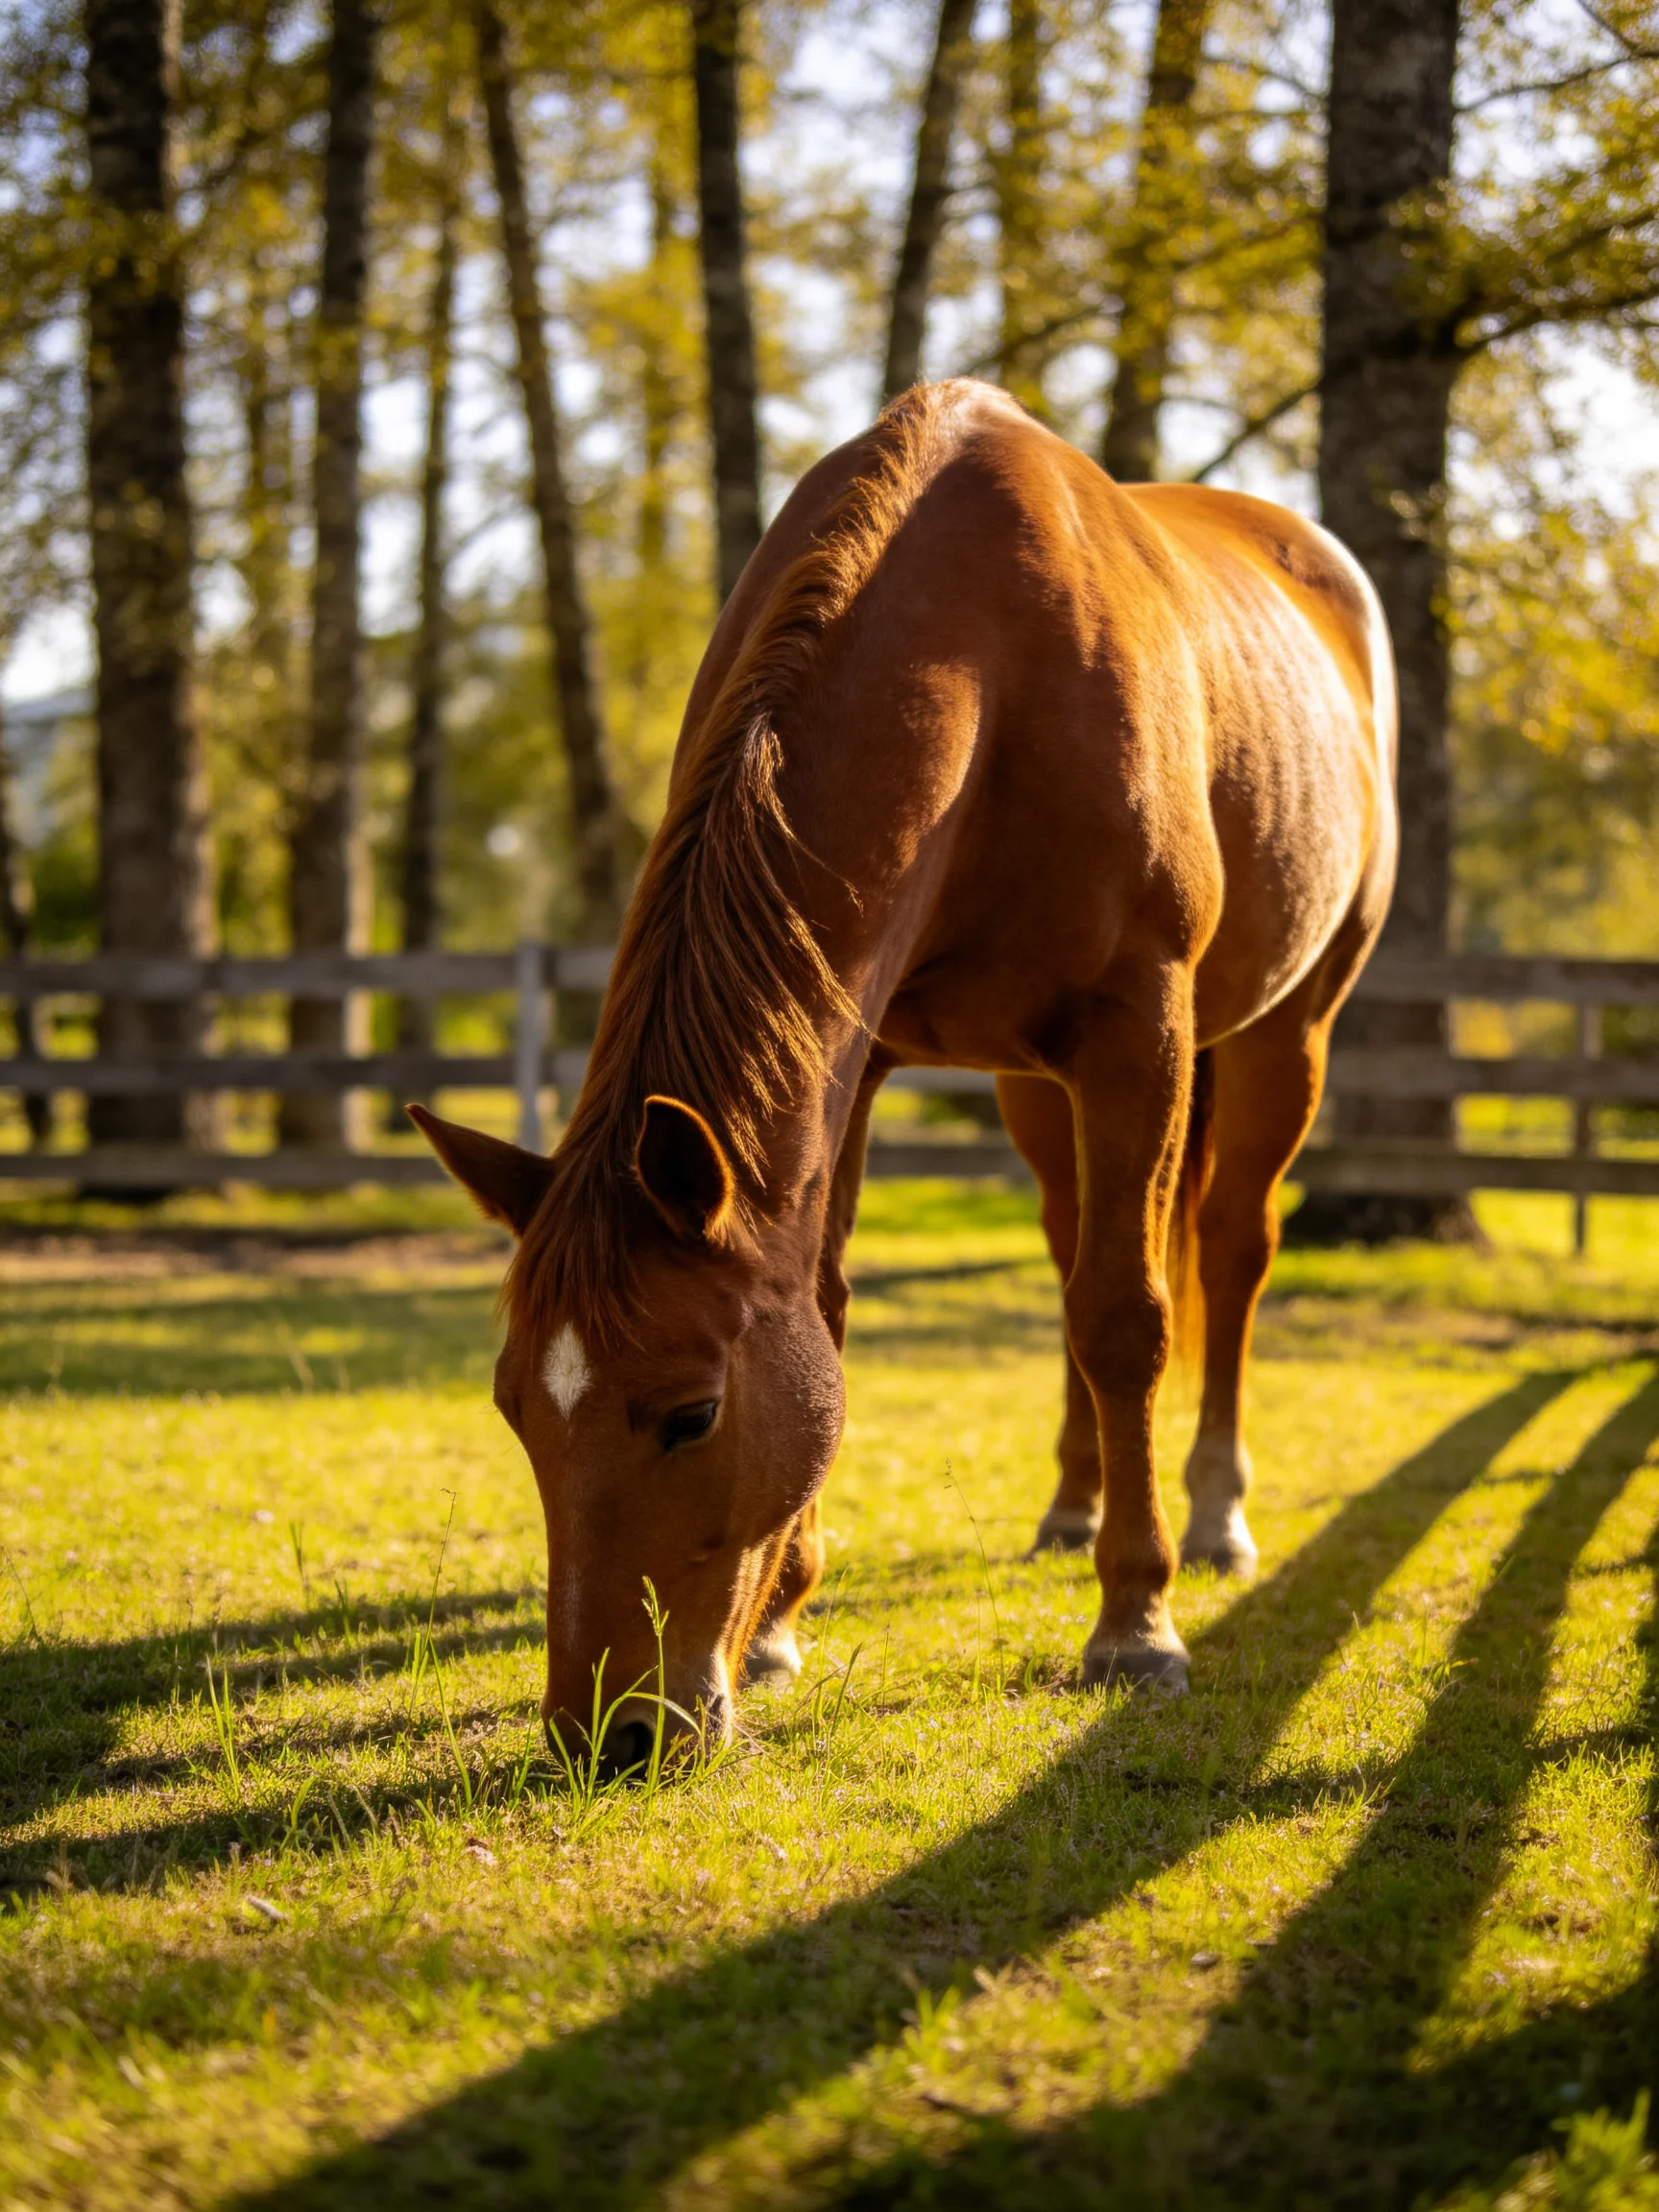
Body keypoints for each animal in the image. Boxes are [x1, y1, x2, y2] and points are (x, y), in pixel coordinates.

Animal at [411, 378, 1397, 1771]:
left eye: (691, 1414)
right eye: (515, 1409)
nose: (607, 1735)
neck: (992, 667)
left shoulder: (1135, 1028)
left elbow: (1129, 1317)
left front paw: (1135, 1627)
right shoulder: (860, 1053)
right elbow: (829, 1306)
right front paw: (777, 1625)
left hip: (1278, 1034)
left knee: (1227, 1251)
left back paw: (1211, 1520)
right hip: (1034, 1087)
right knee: (1069, 1246)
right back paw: (1070, 1503)